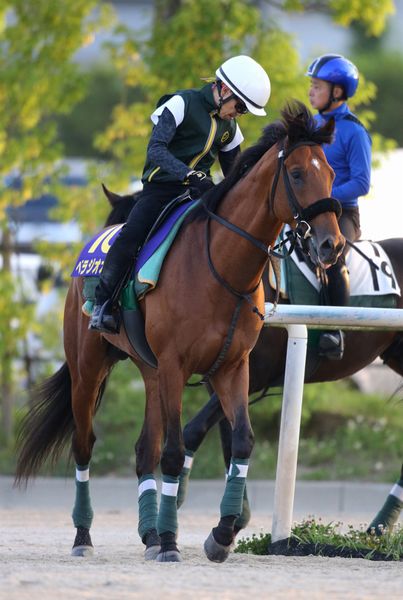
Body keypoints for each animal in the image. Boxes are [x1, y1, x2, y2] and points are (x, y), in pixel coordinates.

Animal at [16, 102, 344, 564]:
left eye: (330, 172)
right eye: (297, 174)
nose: (331, 245)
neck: (220, 267)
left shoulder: (232, 368)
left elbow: (241, 442)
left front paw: (220, 535)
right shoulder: (176, 365)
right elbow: (173, 453)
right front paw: (173, 542)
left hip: (150, 372)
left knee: (143, 449)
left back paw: (150, 533)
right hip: (89, 370)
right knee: (85, 446)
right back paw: (85, 536)